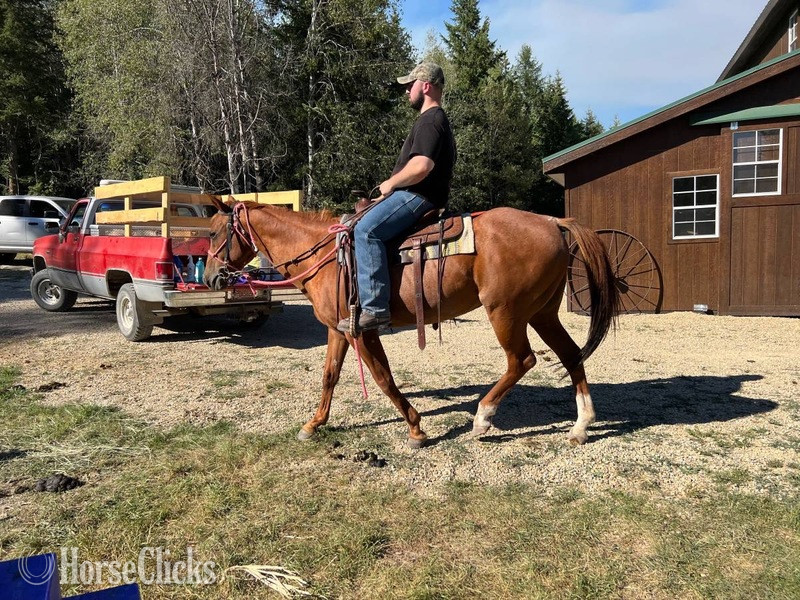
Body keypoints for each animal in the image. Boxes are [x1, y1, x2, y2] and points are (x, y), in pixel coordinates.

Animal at [203, 197, 620, 448]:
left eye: (214, 232)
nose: (209, 278)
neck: (324, 257)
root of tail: (552, 221)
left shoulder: (363, 330)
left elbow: (383, 378)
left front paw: (416, 428)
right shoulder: (339, 329)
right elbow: (330, 375)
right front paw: (314, 423)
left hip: (506, 311)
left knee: (522, 360)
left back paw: (483, 418)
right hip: (541, 312)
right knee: (571, 355)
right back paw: (581, 425)